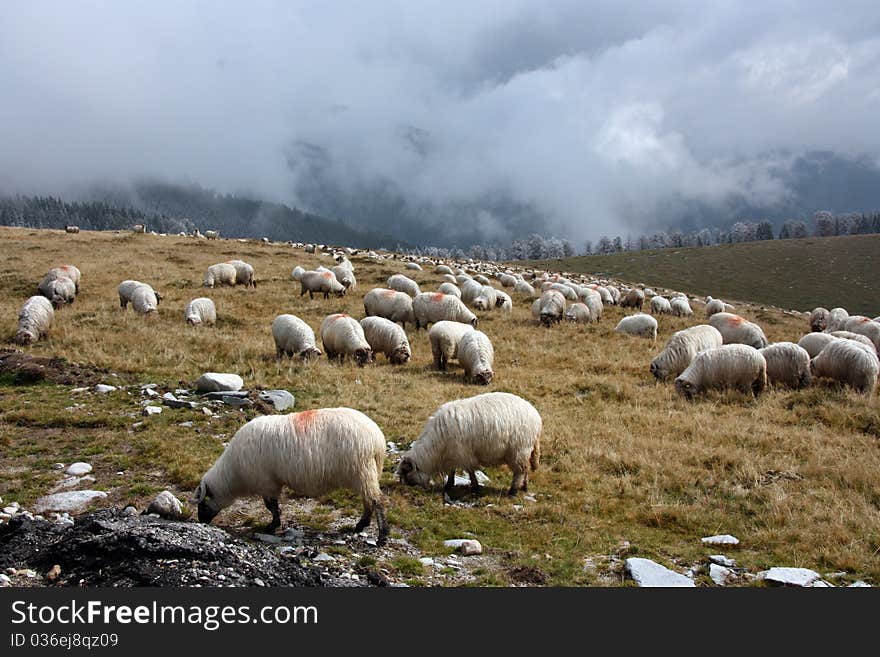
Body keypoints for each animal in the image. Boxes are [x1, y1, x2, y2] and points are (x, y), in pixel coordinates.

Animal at [196, 410, 388, 544]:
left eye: (203, 503)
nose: (201, 521)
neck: (233, 474)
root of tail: (377, 438)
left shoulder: (267, 482)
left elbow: (271, 506)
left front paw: (272, 526)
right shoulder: (270, 482)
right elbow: (272, 506)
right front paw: (274, 524)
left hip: (362, 471)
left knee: (377, 501)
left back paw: (382, 536)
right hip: (366, 473)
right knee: (368, 500)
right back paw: (361, 525)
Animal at [398, 390, 536, 498]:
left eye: (405, 472)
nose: (404, 488)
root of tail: (536, 417)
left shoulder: (464, 454)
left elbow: (470, 471)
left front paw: (474, 487)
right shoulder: (453, 454)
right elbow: (452, 471)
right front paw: (449, 485)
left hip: (519, 450)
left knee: (520, 471)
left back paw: (513, 491)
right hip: (525, 451)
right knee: (526, 469)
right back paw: (524, 487)